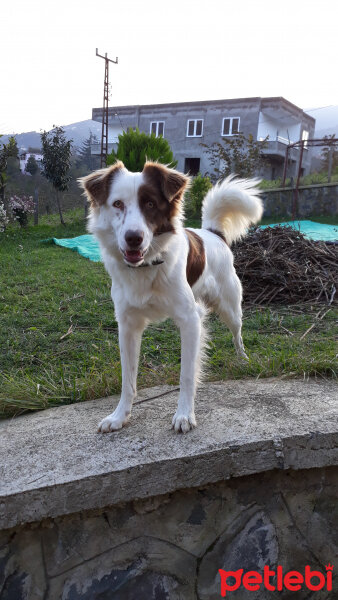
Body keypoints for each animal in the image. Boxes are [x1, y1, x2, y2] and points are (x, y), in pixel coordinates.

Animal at [80, 162, 264, 434]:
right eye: (117, 204)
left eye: (150, 203)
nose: (133, 238)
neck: (146, 267)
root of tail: (212, 233)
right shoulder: (127, 325)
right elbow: (127, 378)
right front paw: (119, 416)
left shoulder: (190, 320)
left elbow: (187, 374)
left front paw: (184, 414)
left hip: (230, 308)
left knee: (237, 334)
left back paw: (242, 359)